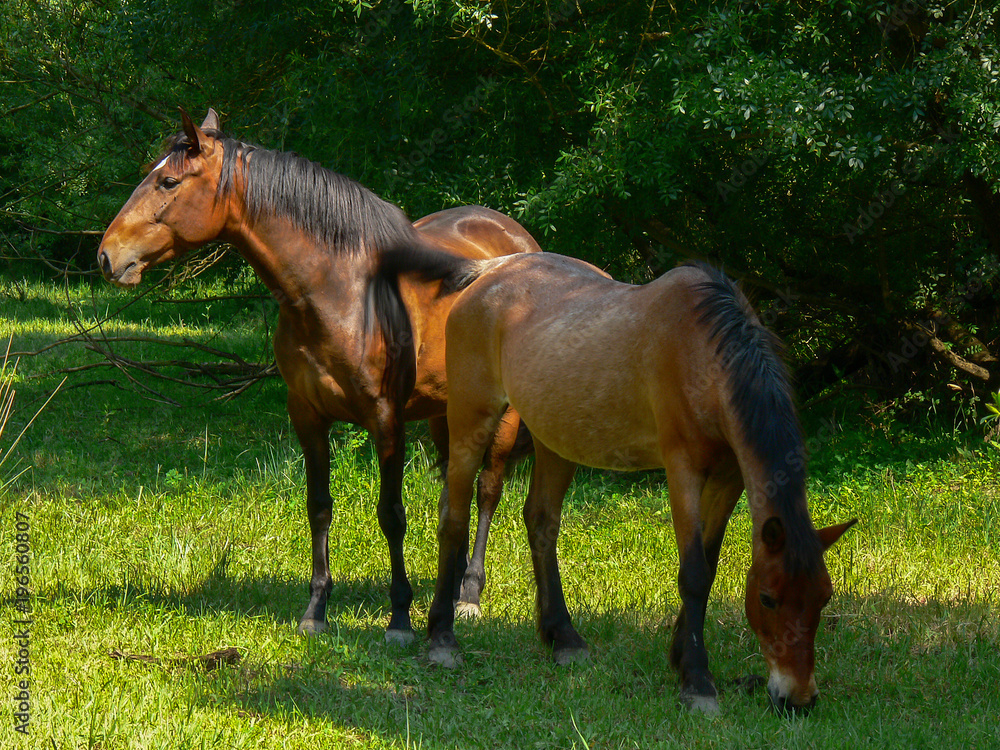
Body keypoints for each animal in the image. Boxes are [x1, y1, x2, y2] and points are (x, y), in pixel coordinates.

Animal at [96, 108, 540, 643]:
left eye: (168, 181)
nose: (107, 256)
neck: (339, 290)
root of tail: (517, 239)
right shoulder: (307, 416)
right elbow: (319, 507)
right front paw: (316, 610)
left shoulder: (386, 420)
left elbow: (391, 515)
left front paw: (399, 616)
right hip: (446, 414)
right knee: (452, 491)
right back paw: (450, 585)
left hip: (502, 419)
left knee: (487, 490)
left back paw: (469, 593)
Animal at [409, 250, 855, 714]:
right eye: (768, 597)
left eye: (824, 596)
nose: (798, 698)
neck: (705, 354)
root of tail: (491, 270)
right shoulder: (683, 471)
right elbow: (694, 573)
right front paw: (697, 680)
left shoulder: (729, 478)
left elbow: (709, 565)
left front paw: (680, 655)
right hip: (472, 423)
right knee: (454, 517)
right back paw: (443, 637)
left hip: (554, 439)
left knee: (541, 522)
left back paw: (563, 637)